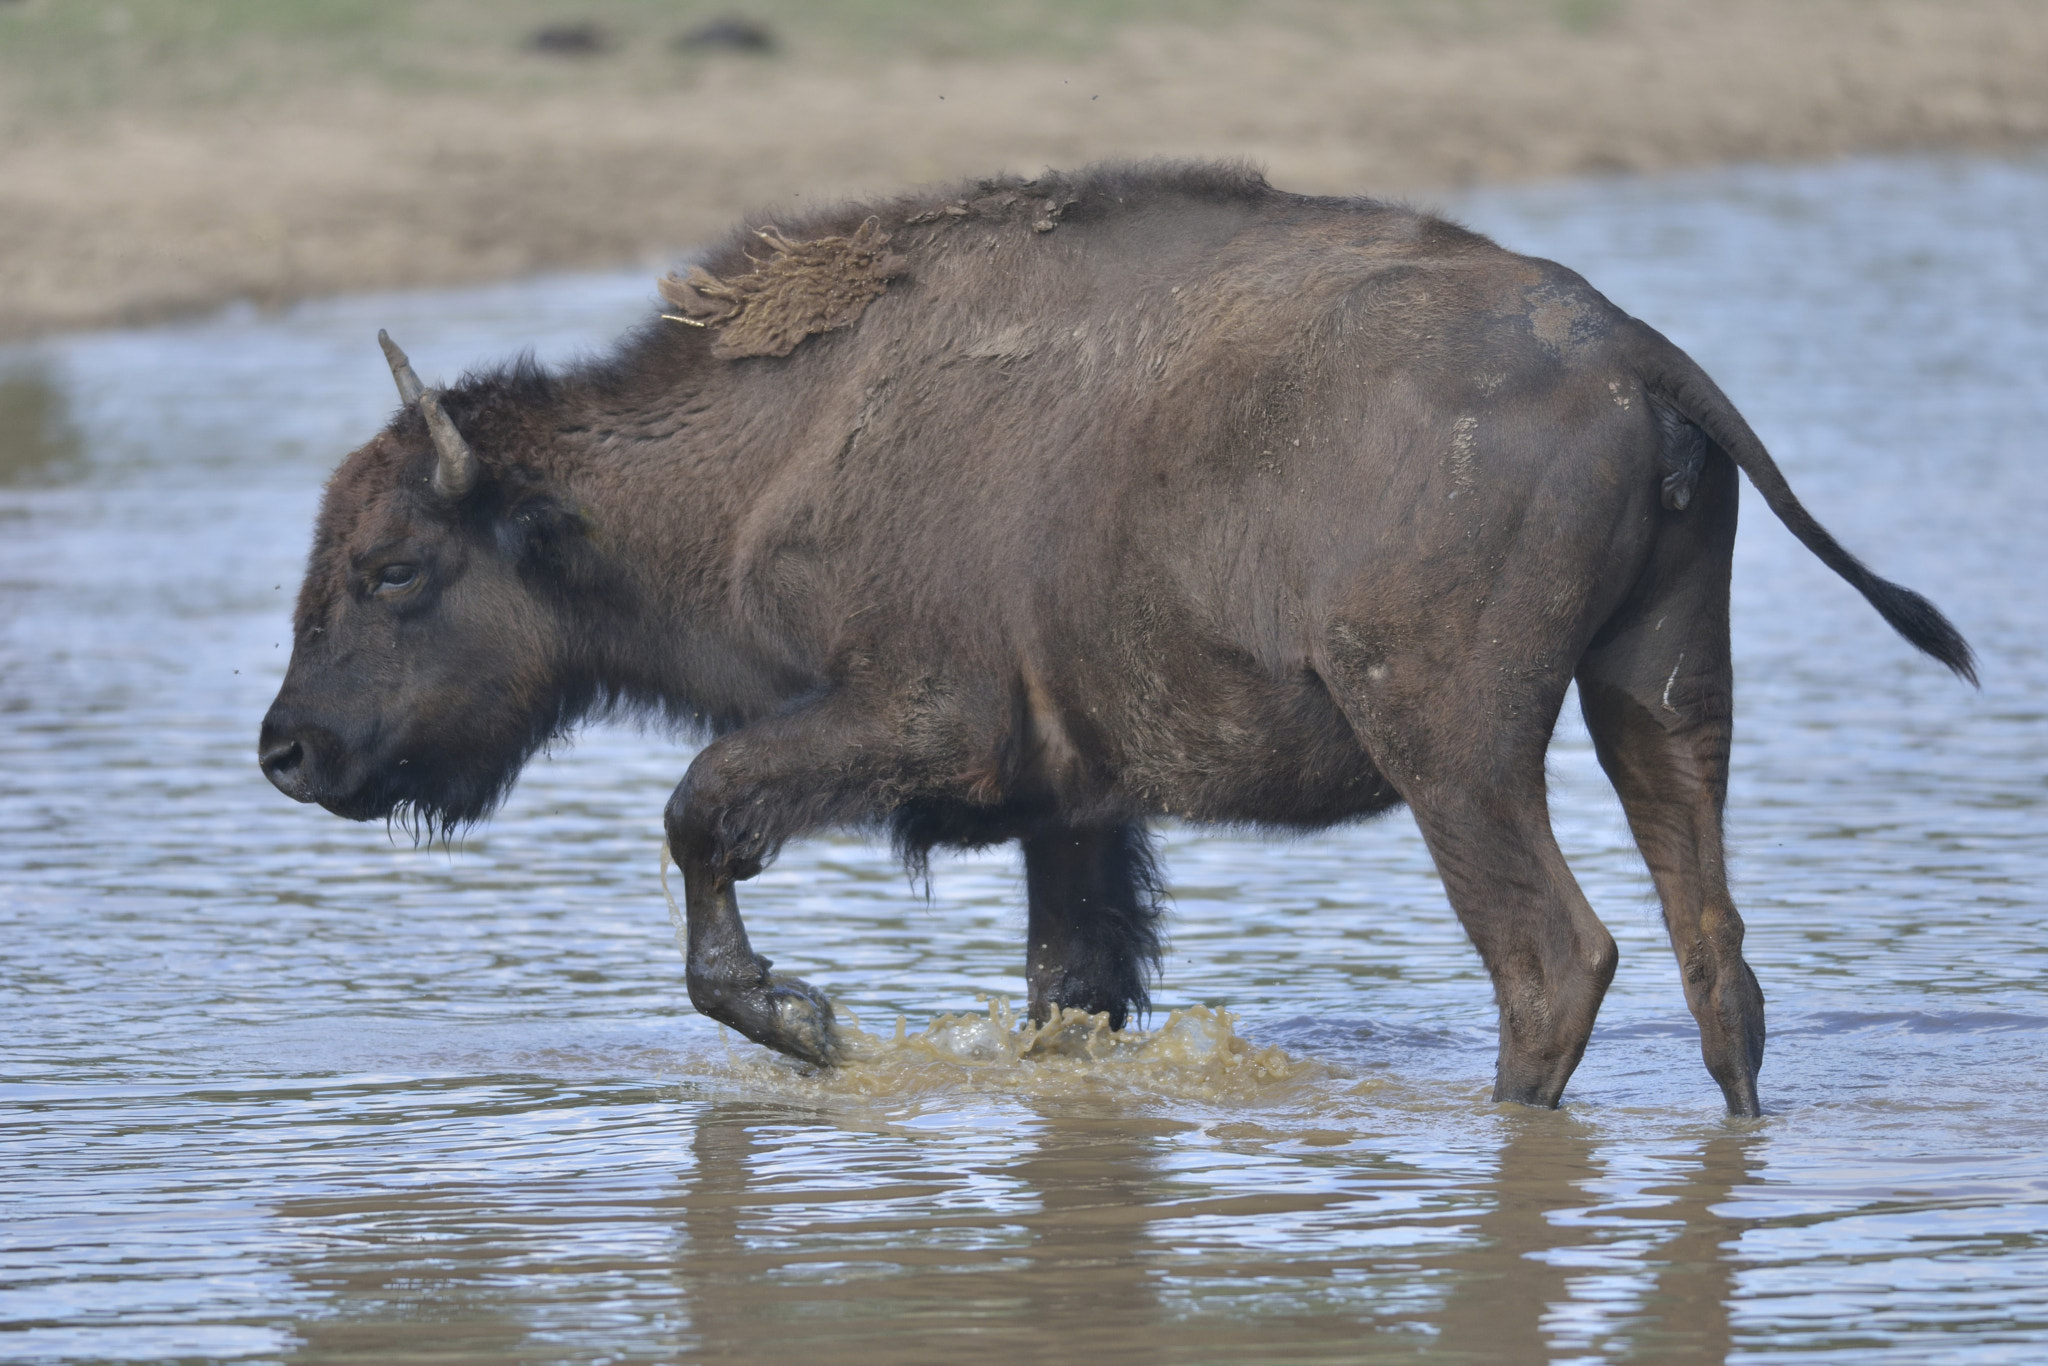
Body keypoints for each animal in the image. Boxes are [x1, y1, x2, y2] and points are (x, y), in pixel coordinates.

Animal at [258, 163, 1972, 1115]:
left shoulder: (921, 720)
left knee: (1557, 958)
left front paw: (807, 1025)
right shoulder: (1068, 805)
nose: (289, 747)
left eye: (395, 567)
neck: (785, 447)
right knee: (1715, 958)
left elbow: (698, 815)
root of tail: (1634, 350)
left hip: (1459, 750)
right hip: (1660, 698)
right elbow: (1071, 983)